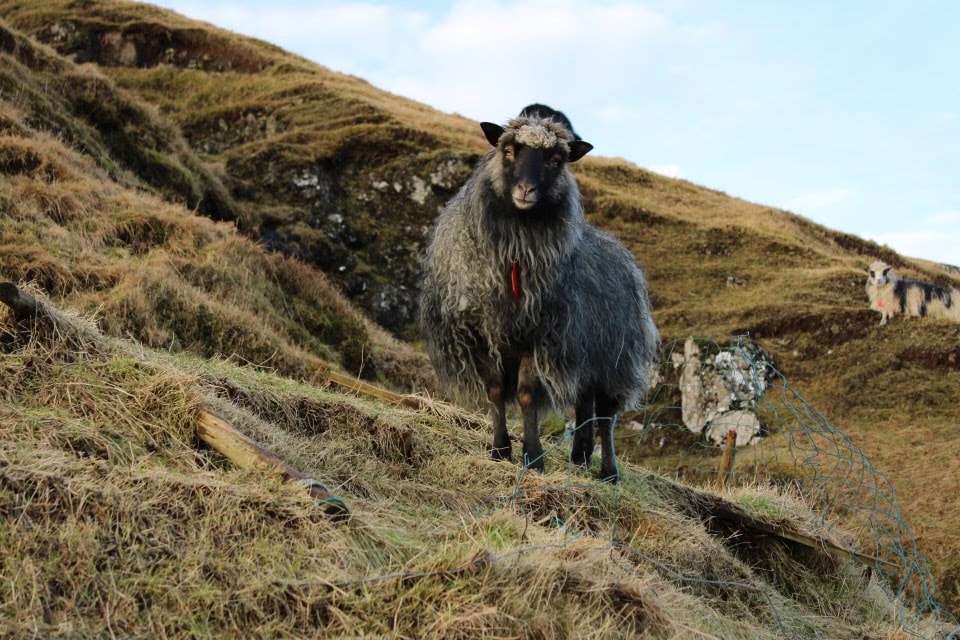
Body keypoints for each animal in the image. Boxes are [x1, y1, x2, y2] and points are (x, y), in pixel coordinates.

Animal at [420, 112, 660, 480]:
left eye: (556, 159)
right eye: (507, 150)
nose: (525, 190)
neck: (515, 256)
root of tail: (622, 253)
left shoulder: (542, 336)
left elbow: (526, 395)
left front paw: (533, 457)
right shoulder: (480, 333)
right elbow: (495, 390)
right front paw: (499, 449)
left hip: (613, 357)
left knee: (606, 414)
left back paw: (608, 470)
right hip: (584, 356)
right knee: (584, 405)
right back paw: (580, 457)